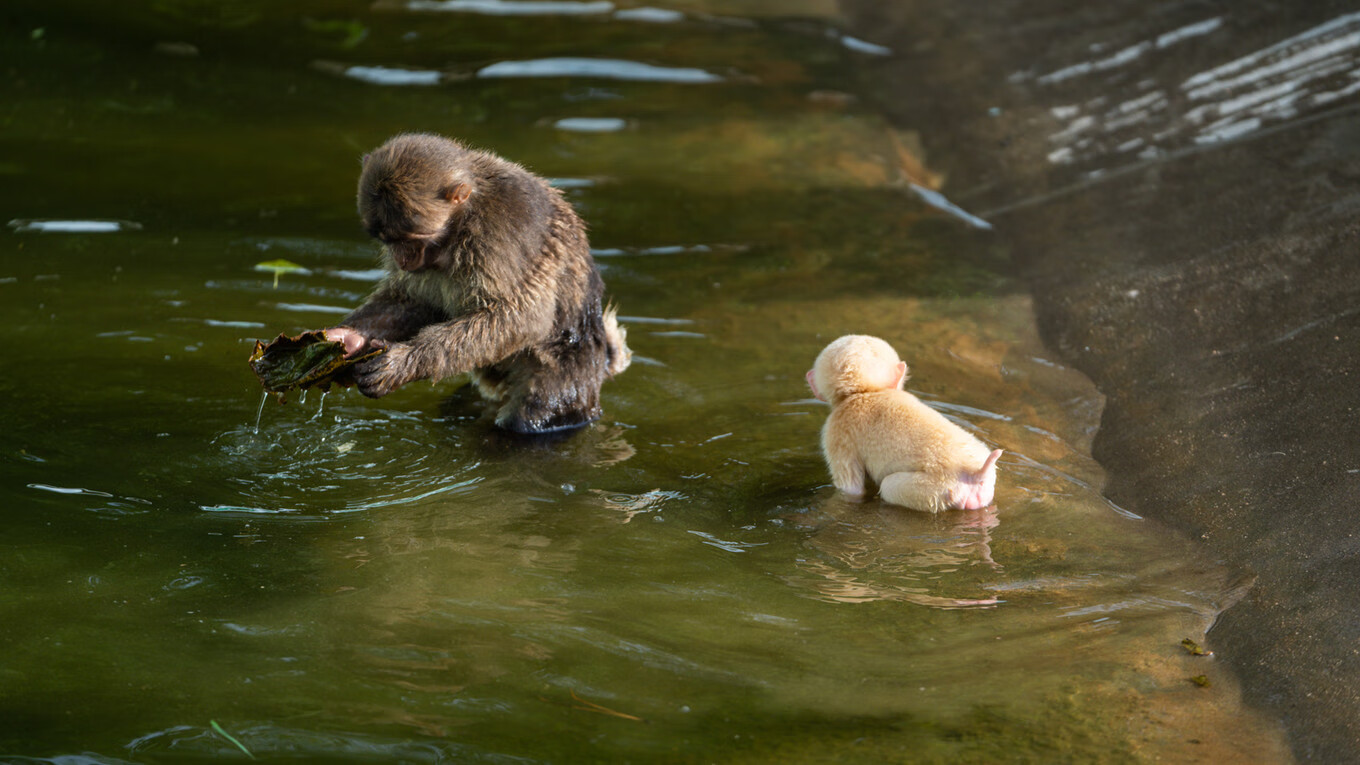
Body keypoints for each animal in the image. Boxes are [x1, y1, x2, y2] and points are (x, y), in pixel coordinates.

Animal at [323, 133, 631, 432]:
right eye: (387, 241)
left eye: (409, 240)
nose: (401, 260)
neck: (456, 230)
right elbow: (414, 303)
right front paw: (346, 338)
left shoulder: (499, 235)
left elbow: (522, 318)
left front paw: (402, 363)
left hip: (563, 381)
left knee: (532, 415)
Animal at [805, 334, 1000, 509]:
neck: (864, 393)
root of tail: (977, 474)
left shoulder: (836, 431)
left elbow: (851, 489)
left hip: (937, 490)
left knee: (888, 486)